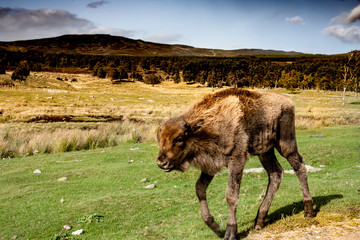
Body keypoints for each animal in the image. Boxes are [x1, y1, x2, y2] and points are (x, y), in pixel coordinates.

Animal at [156, 88, 314, 240]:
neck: (205, 128)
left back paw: (308, 211)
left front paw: (230, 232)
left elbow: (231, 195)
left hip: (285, 144)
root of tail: (288, 101)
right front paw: (215, 227)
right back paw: (259, 221)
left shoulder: (236, 161)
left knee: (299, 166)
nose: (161, 163)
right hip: (264, 151)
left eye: (179, 138)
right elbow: (200, 188)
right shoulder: (211, 165)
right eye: (159, 138)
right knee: (276, 173)